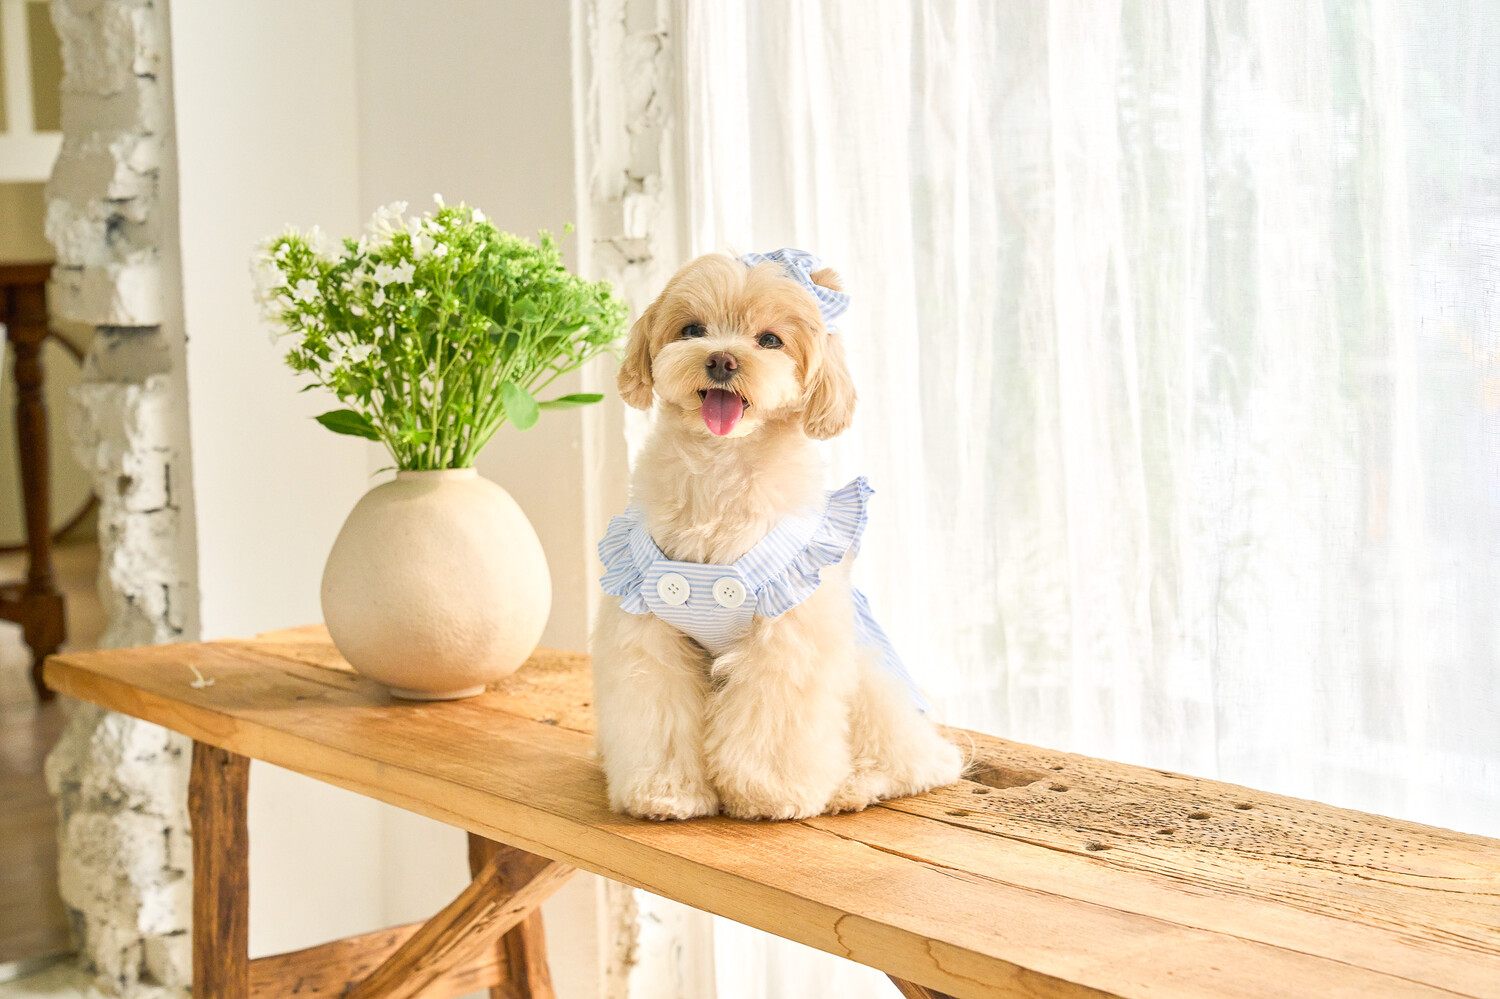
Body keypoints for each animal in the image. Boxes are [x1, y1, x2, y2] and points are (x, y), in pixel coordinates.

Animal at [591, 250, 964, 821]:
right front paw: (666, 791)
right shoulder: (648, 627)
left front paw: (769, 793)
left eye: (770, 340)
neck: (719, 471)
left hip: (872, 679)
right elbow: (658, 714)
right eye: (692, 329)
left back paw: (854, 786)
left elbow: (775, 717)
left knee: (915, 764)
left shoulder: (790, 632)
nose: (722, 360)